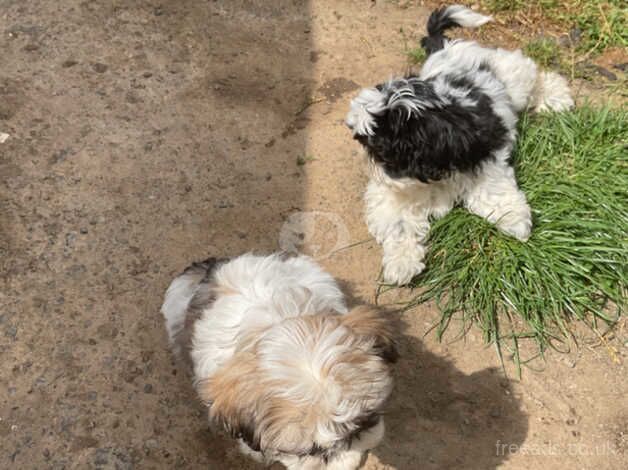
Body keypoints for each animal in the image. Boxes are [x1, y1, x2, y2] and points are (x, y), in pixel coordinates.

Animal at [348, 4, 576, 282]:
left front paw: (514, 220)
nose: (371, 166)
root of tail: (446, 46)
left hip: (511, 75)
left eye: (381, 150)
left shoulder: (486, 155)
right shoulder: (393, 193)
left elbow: (491, 189)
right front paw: (401, 263)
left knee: (534, 78)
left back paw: (556, 97)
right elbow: (398, 223)